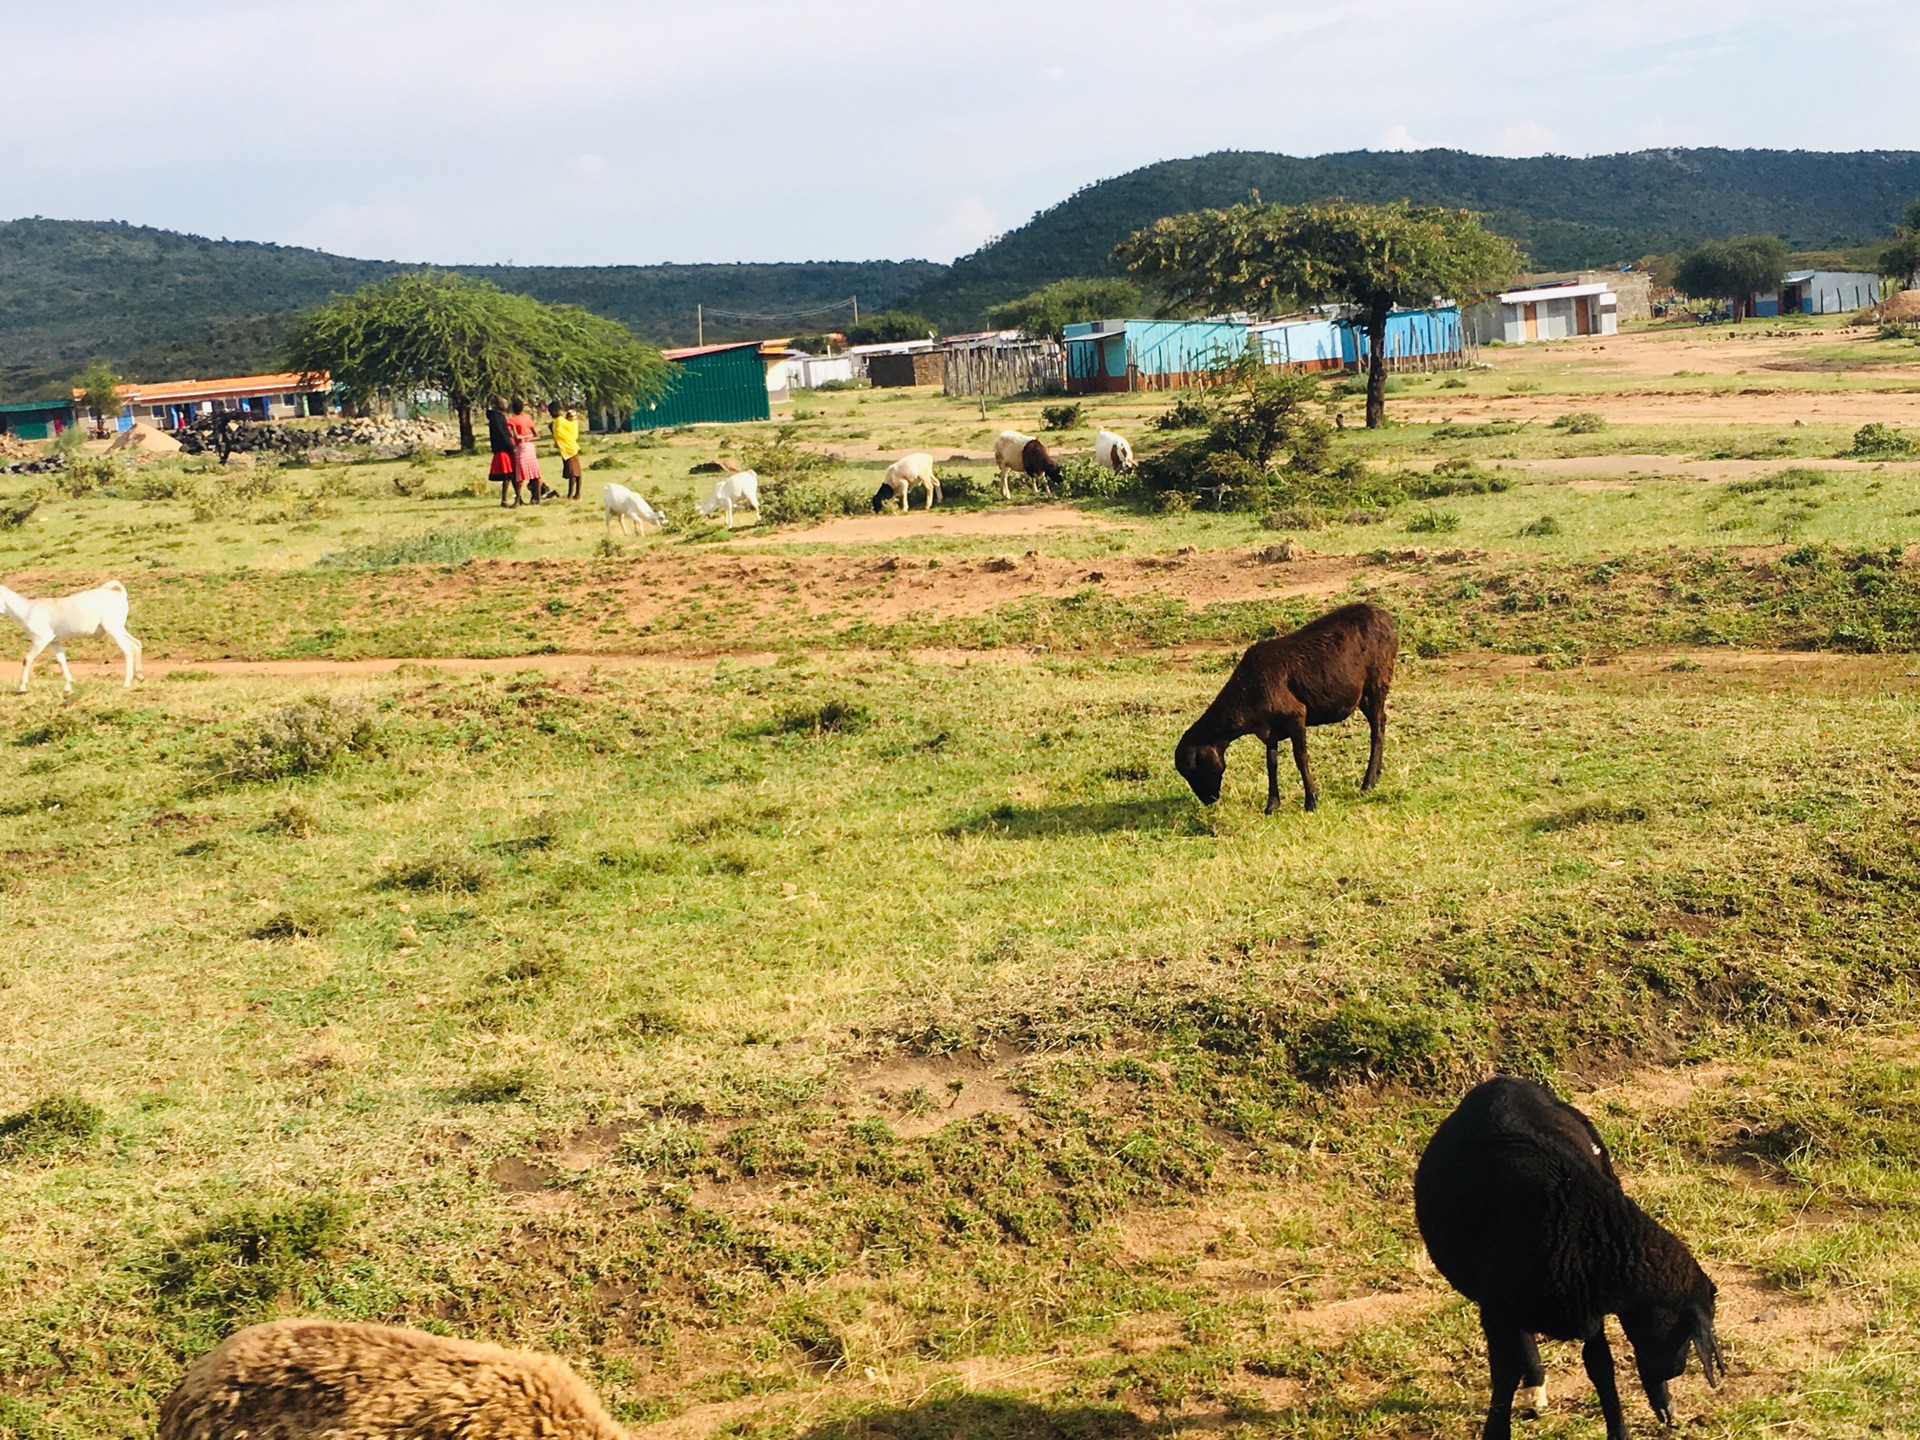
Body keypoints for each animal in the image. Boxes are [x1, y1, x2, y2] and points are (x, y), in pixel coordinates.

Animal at [0, 579, 142, 695]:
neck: (27, 610)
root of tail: (120, 595)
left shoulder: (40, 640)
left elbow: (27, 659)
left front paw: (22, 687)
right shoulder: (54, 641)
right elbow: (61, 660)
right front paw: (68, 686)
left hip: (113, 629)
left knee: (127, 649)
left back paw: (126, 683)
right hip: (119, 628)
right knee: (136, 643)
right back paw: (139, 676)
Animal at [1167, 602, 1397, 817]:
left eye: (1194, 770)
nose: (1209, 800)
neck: (1247, 690)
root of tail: (1385, 617)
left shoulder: (1296, 716)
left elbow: (1300, 759)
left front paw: (1311, 801)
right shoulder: (1269, 729)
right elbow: (1272, 763)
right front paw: (1272, 805)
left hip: (1378, 680)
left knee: (1376, 729)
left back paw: (1367, 783)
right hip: (1363, 694)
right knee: (1382, 721)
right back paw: (1377, 774)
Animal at [1413, 1082, 1728, 1440]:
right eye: (1683, 1330)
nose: (1675, 1370)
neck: (1588, 1226)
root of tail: (1503, 1082)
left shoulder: (1587, 1306)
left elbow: (1600, 1366)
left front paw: (1621, 1430)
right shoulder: (1497, 1307)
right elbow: (1504, 1373)